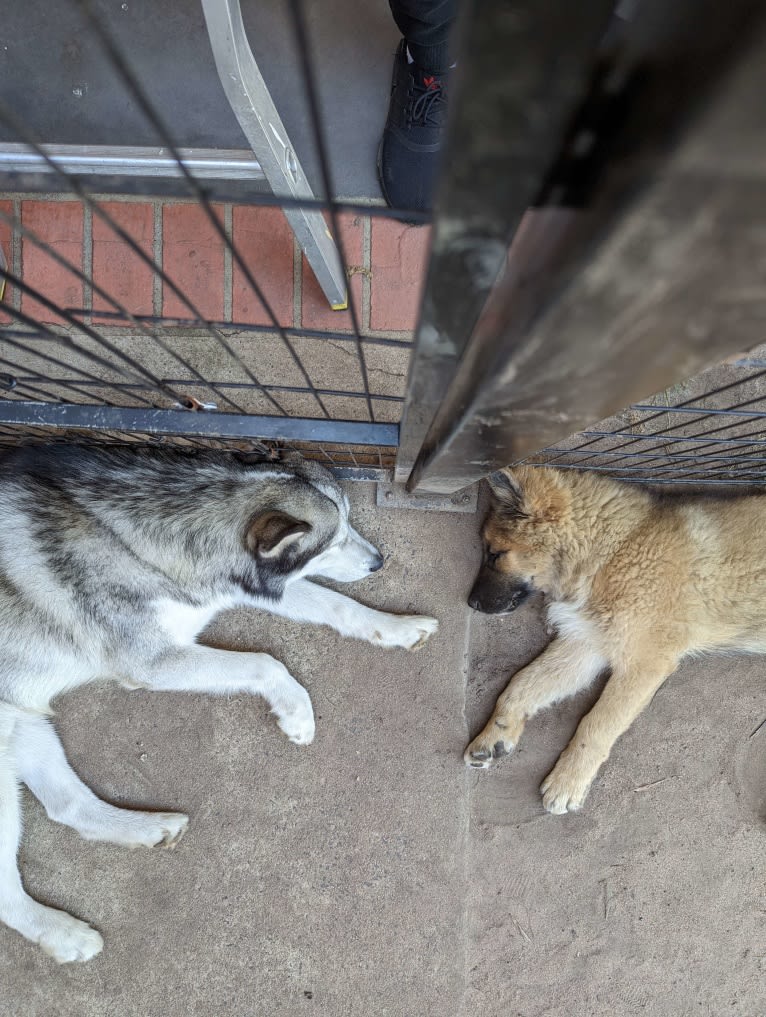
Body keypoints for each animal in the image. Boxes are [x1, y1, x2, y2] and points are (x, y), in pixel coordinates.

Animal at [0, 445, 435, 960]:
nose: (378, 562)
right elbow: (265, 663)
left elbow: (338, 605)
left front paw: (397, 628)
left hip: (28, 728)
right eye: (330, 542)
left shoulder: (239, 589)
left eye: (350, 522)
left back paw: (147, 829)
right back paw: (64, 936)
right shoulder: (154, 662)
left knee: (68, 807)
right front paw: (297, 715)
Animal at [463, 465, 760, 809]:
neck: (610, 551)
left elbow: (596, 725)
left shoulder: (643, 664)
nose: (470, 604)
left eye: (495, 554)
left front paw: (568, 782)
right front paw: (494, 735)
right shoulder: (586, 644)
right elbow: (519, 686)